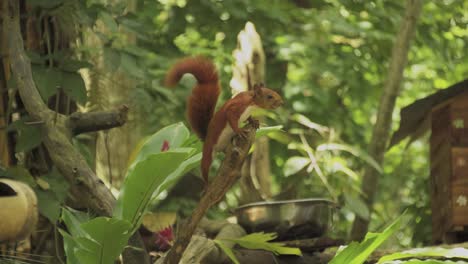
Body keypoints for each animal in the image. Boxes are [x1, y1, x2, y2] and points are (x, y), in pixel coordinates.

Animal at [165, 56, 284, 184]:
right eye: (269, 96)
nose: (282, 102)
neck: (251, 102)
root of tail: (207, 138)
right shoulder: (236, 107)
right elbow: (231, 118)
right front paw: (239, 130)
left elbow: (248, 118)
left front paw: (254, 122)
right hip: (208, 152)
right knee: (205, 167)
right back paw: (207, 183)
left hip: (228, 148)